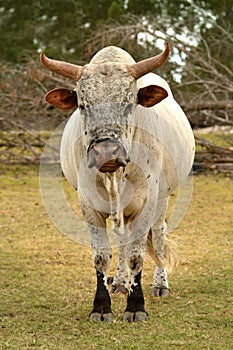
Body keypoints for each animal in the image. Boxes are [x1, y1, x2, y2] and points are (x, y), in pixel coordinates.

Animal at [40, 43, 195, 322]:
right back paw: (122, 282)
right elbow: (102, 256)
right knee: (123, 237)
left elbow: (136, 256)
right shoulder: (89, 203)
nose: (106, 152)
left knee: (158, 236)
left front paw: (136, 306)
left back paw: (160, 283)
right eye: (83, 105)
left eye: (128, 103)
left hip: (163, 199)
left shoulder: (147, 201)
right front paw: (102, 307)